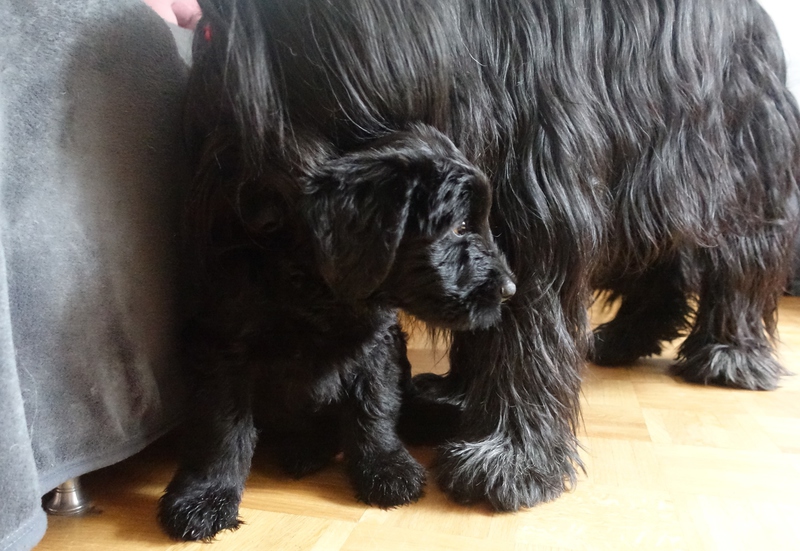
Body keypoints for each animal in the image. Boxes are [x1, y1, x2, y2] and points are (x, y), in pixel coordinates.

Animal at [160, 0, 800, 539]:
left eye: (265, 50)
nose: (221, 203)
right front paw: (458, 395)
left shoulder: (536, 201)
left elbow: (523, 325)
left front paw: (511, 459)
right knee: (662, 258)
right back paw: (625, 336)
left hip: (731, 155)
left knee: (742, 253)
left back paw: (729, 355)